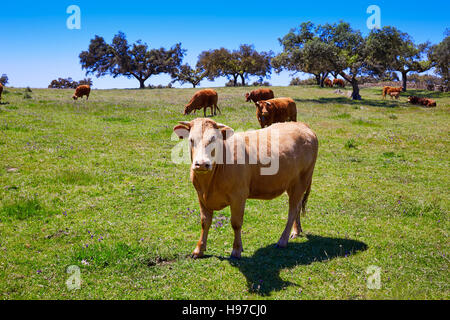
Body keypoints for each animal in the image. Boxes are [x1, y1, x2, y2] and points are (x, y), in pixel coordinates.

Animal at [173, 119, 320, 258]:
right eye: (191, 140)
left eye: (214, 139)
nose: (202, 164)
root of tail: (301, 125)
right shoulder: (201, 196)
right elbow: (205, 222)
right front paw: (199, 250)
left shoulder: (238, 196)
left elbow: (236, 223)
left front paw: (237, 250)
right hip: (292, 184)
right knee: (298, 206)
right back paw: (296, 231)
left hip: (302, 181)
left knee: (292, 210)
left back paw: (282, 241)